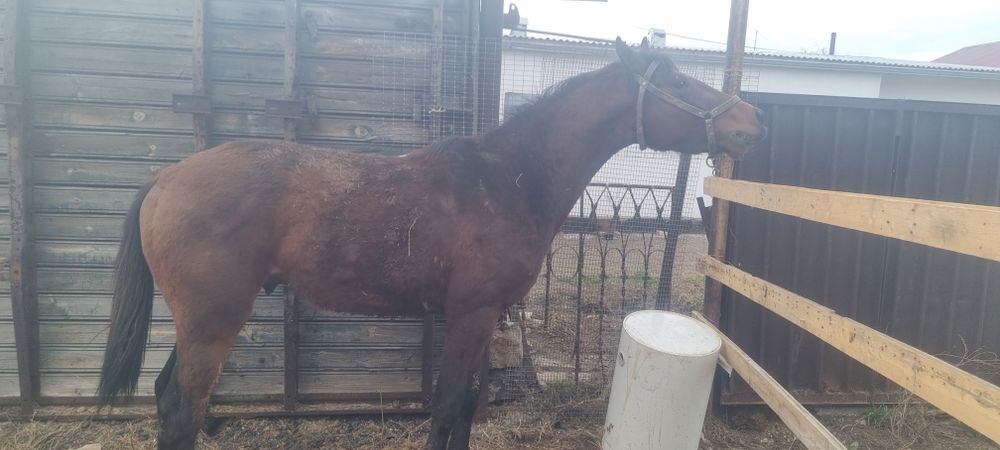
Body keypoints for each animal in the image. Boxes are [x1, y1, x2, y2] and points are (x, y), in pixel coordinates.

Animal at [96, 37, 765, 450]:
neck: (506, 178)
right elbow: (445, 406)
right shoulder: (469, 313)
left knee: (166, 400)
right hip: (213, 320)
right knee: (184, 411)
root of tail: (165, 179)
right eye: (675, 77)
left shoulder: (481, 316)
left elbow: (463, 406)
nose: (750, 122)